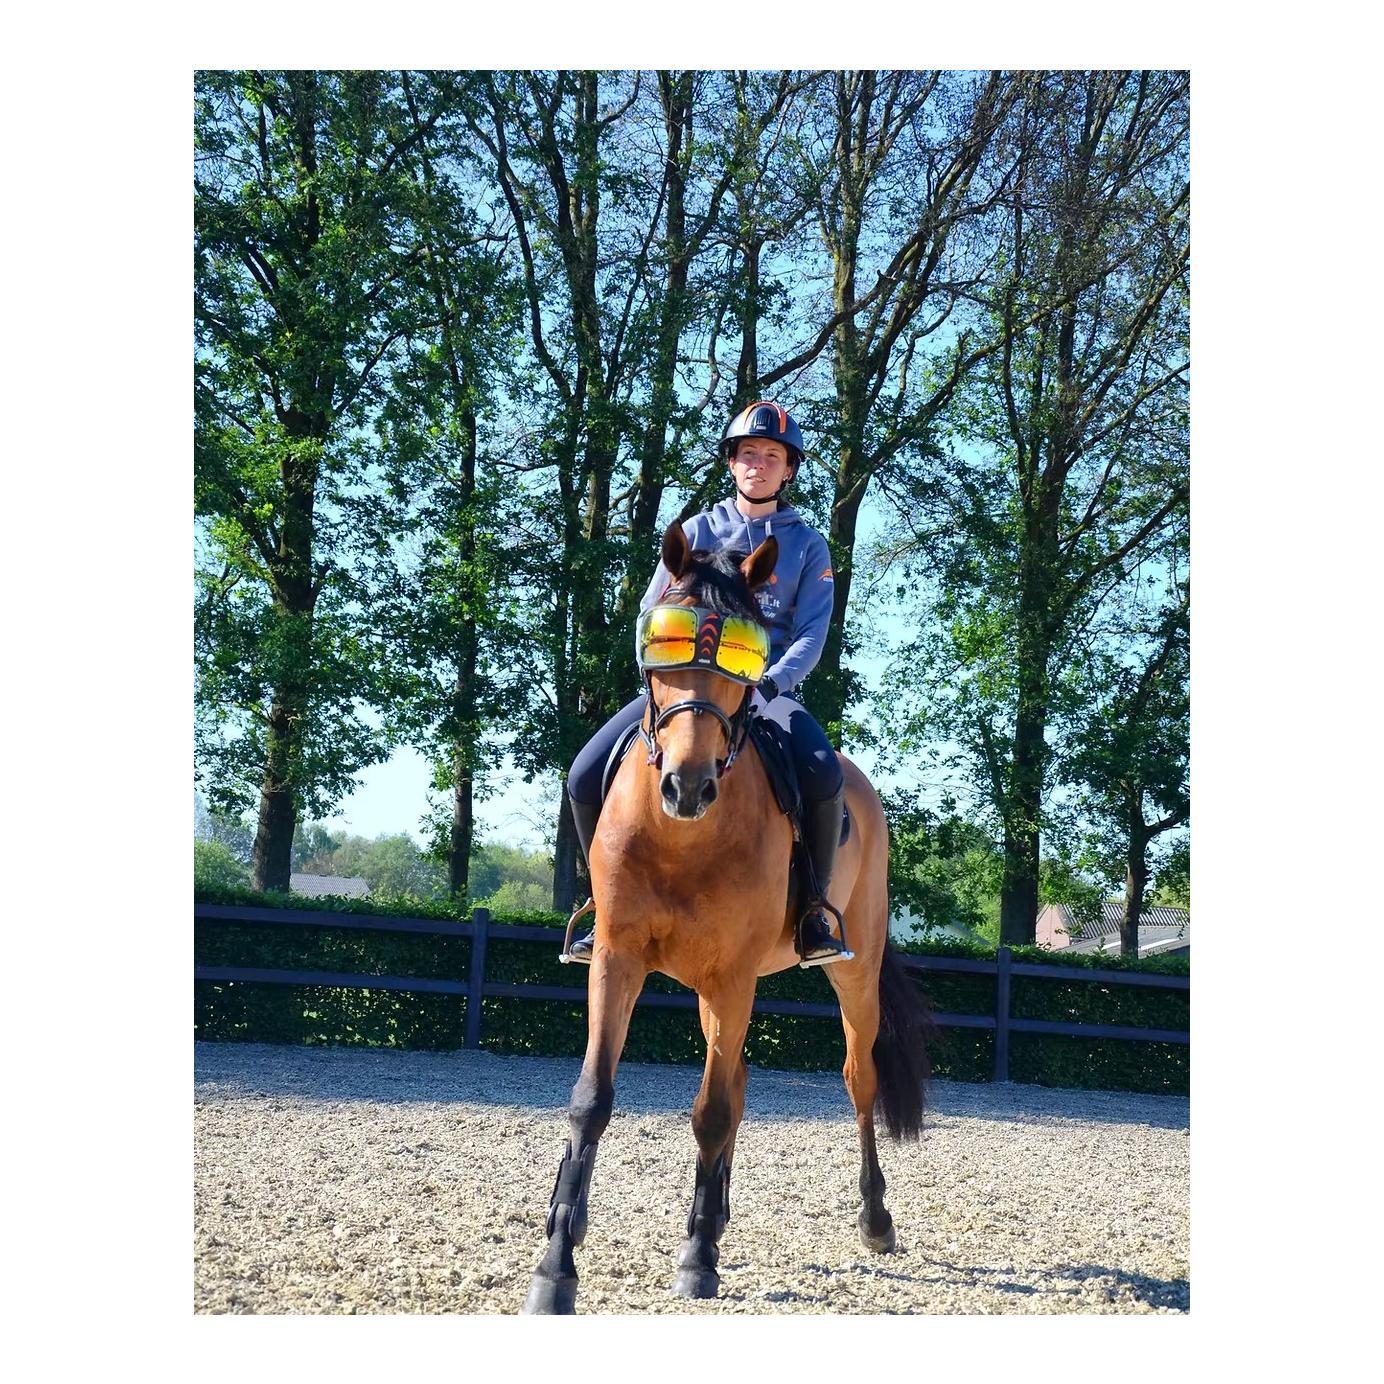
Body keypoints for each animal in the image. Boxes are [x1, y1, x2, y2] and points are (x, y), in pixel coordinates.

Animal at [521, 519, 931, 1314]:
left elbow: (708, 1111)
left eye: (746, 654)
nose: (688, 786)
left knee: (855, 1079)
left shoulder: (732, 974)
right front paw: (556, 1267)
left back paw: (874, 1219)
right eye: (666, 639)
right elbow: (592, 1101)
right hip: (718, 990)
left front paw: (696, 1259)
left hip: (849, 976)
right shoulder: (617, 958)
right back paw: (714, 1216)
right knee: (738, 1084)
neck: (680, 836)